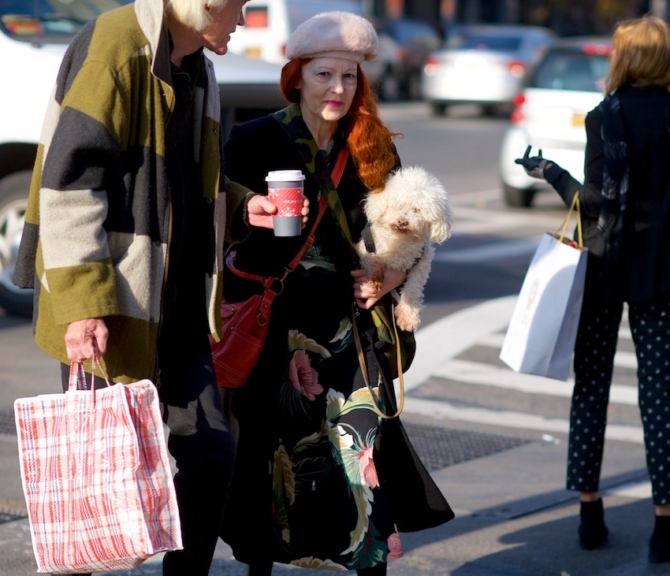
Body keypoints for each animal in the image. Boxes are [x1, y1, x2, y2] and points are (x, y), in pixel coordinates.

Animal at [354, 164, 454, 330]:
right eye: (399, 205)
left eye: (417, 210)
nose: (402, 222)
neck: (400, 240)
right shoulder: (366, 247)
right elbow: (372, 260)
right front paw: (376, 276)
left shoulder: (420, 265)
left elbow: (412, 290)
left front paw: (408, 317)